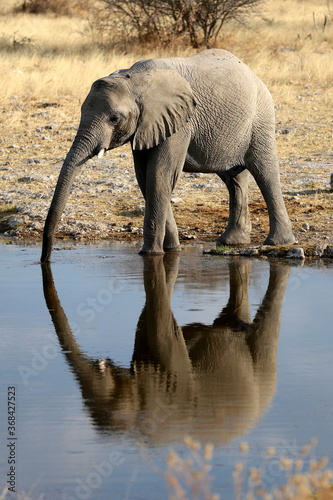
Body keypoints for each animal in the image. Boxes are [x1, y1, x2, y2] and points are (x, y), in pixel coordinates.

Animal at [40, 48, 294, 264]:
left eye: (115, 118)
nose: (44, 260)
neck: (134, 79)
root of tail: (253, 73)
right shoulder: (147, 126)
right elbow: (146, 179)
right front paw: (172, 250)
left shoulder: (179, 122)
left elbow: (160, 176)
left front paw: (150, 254)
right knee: (234, 179)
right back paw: (231, 242)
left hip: (261, 116)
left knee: (265, 172)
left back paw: (278, 242)